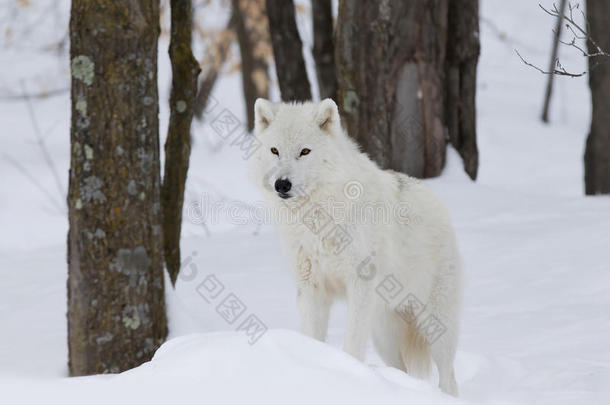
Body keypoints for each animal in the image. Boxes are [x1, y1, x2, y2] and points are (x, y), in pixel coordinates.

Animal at [247, 98, 460, 394]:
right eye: (274, 150)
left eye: (304, 151)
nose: (282, 184)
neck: (318, 219)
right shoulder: (311, 288)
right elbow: (312, 337)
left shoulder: (359, 285)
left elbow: (352, 344)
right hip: (384, 335)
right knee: (402, 369)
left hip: (434, 326)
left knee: (449, 377)